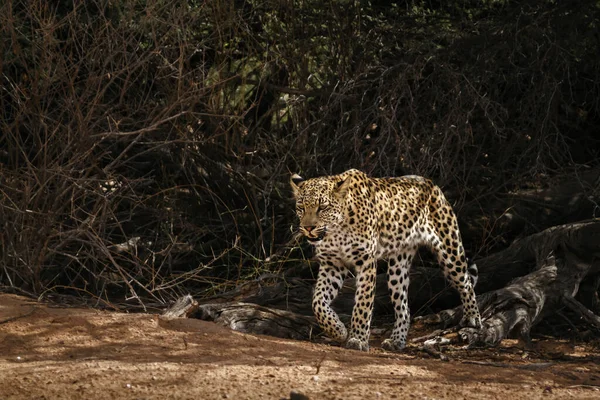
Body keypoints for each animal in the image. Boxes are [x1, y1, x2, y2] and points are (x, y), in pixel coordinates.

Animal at [290, 168, 482, 350]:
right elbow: (318, 302)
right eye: (301, 208)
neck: (336, 230)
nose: (308, 228)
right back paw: (397, 340)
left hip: (450, 250)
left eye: (322, 208)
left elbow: (363, 304)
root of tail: (432, 185)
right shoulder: (332, 264)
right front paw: (337, 330)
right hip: (398, 267)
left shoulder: (366, 262)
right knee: (404, 307)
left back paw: (473, 319)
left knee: (466, 283)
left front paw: (358, 339)